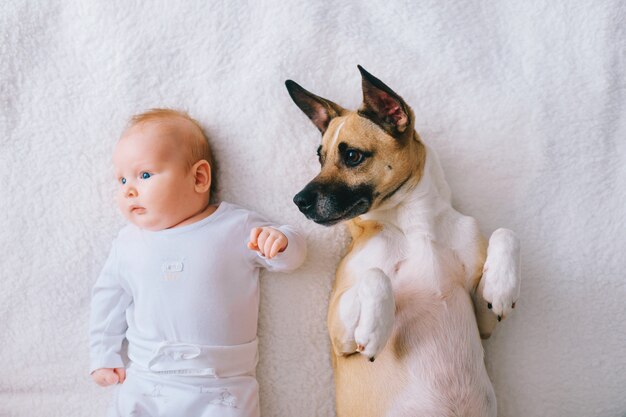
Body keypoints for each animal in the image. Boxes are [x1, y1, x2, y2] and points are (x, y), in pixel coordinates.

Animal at [286, 66, 520, 414]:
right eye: (320, 158)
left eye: (352, 156)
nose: (298, 201)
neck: (413, 226)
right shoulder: (338, 332)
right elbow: (376, 274)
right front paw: (375, 328)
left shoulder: (484, 322)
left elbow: (506, 233)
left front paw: (503, 287)